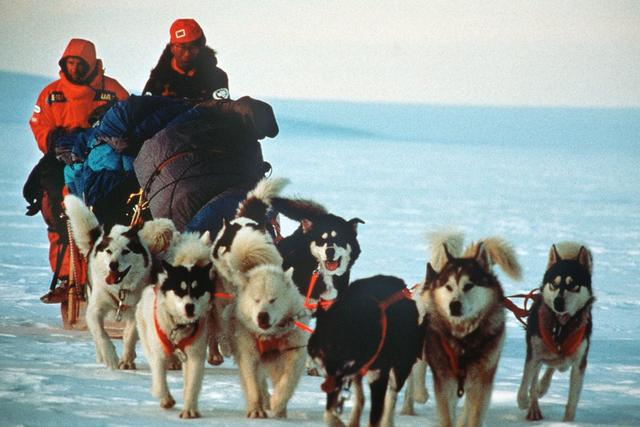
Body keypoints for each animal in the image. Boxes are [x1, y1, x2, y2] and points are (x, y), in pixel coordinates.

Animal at [63, 196, 174, 370]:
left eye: (126, 251)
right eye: (108, 251)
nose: (113, 265)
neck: (119, 290)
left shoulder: (135, 310)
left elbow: (129, 335)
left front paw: (126, 360)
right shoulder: (94, 309)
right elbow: (101, 334)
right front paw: (110, 357)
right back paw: (101, 355)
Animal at [136, 232, 214, 420]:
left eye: (198, 289)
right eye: (180, 289)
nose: (189, 307)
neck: (178, 326)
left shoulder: (195, 356)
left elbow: (192, 385)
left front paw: (190, 409)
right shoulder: (158, 355)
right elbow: (159, 379)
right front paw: (166, 398)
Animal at [308, 276, 422, 426]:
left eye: (341, 349)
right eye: (325, 347)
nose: (328, 379)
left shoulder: (378, 376)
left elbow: (375, 416)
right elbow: (328, 413)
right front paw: (337, 421)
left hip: (400, 368)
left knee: (391, 396)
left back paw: (387, 420)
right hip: (358, 376)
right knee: (360, 398)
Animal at [420, 232, 520, 427]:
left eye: (469, 285)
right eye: (449, 286)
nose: (454, 306)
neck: (463, 340)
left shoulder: (481, 383)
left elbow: (474, 415)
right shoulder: (444, 381)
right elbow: (446, 416)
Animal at [516, 242, 596, 422]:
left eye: (573, 284)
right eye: (554, 283)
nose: (558, 302)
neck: (560, 328)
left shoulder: (579, 363)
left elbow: (572, 401)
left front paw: (568, 422)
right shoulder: (533, 356)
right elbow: (525, 384)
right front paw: (524, 402)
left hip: (564, 360)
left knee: (556, 367)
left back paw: (543, 387)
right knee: (535, 380)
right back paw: (534, 406)